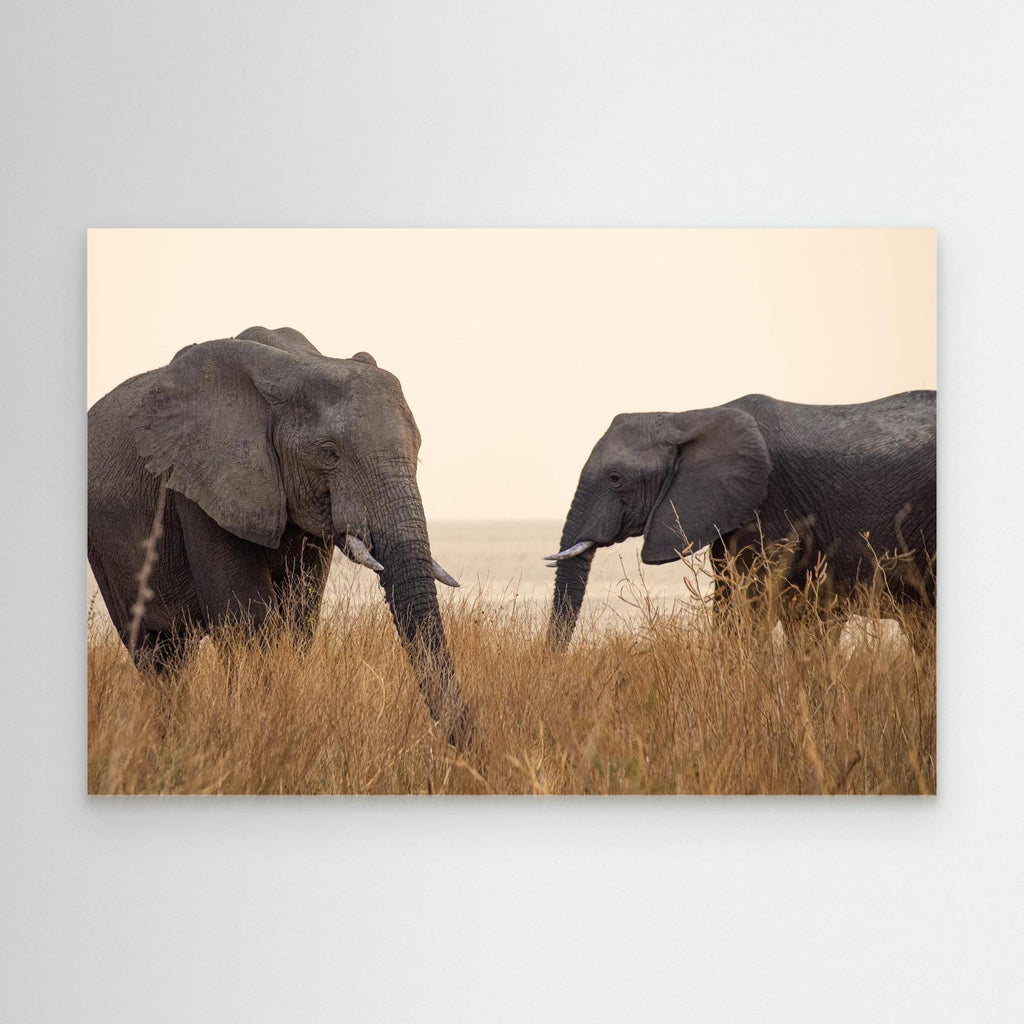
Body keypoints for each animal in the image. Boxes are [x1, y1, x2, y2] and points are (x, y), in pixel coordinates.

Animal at [88, 326, 467, 737]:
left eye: (417, 451)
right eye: (329, 453)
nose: (462, 743)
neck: (293, 369)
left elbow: (301, 615)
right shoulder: (201, 491)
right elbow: (248, 620)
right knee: (155, 653)